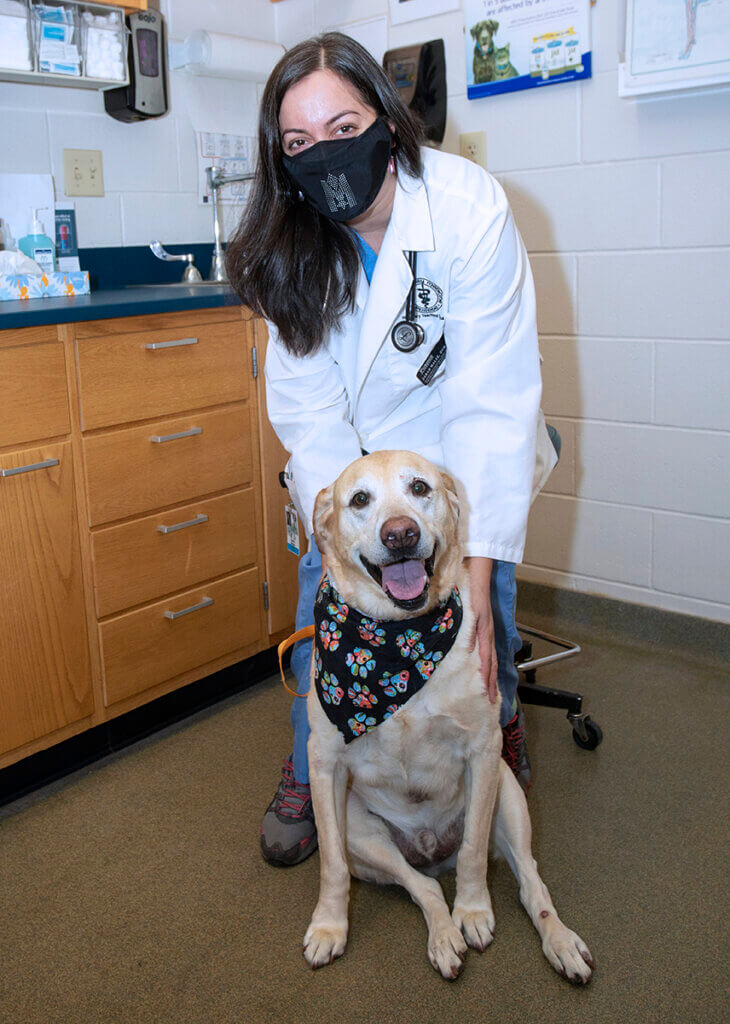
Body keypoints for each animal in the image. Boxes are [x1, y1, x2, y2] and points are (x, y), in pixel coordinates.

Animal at [301, 452, 593, 978]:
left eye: (420, 488)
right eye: (359, 499)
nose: (400, 534)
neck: (396, 644)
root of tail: (433, 850)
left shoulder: (483, 750)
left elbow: (474, 851)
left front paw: (474, 911)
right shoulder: (325, 763)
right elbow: (330, 864)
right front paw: (329, 927)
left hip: (509, 798)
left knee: (529, 882)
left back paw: (560, 942)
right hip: (364, 833)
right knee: (425, 886)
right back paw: (442, 938)